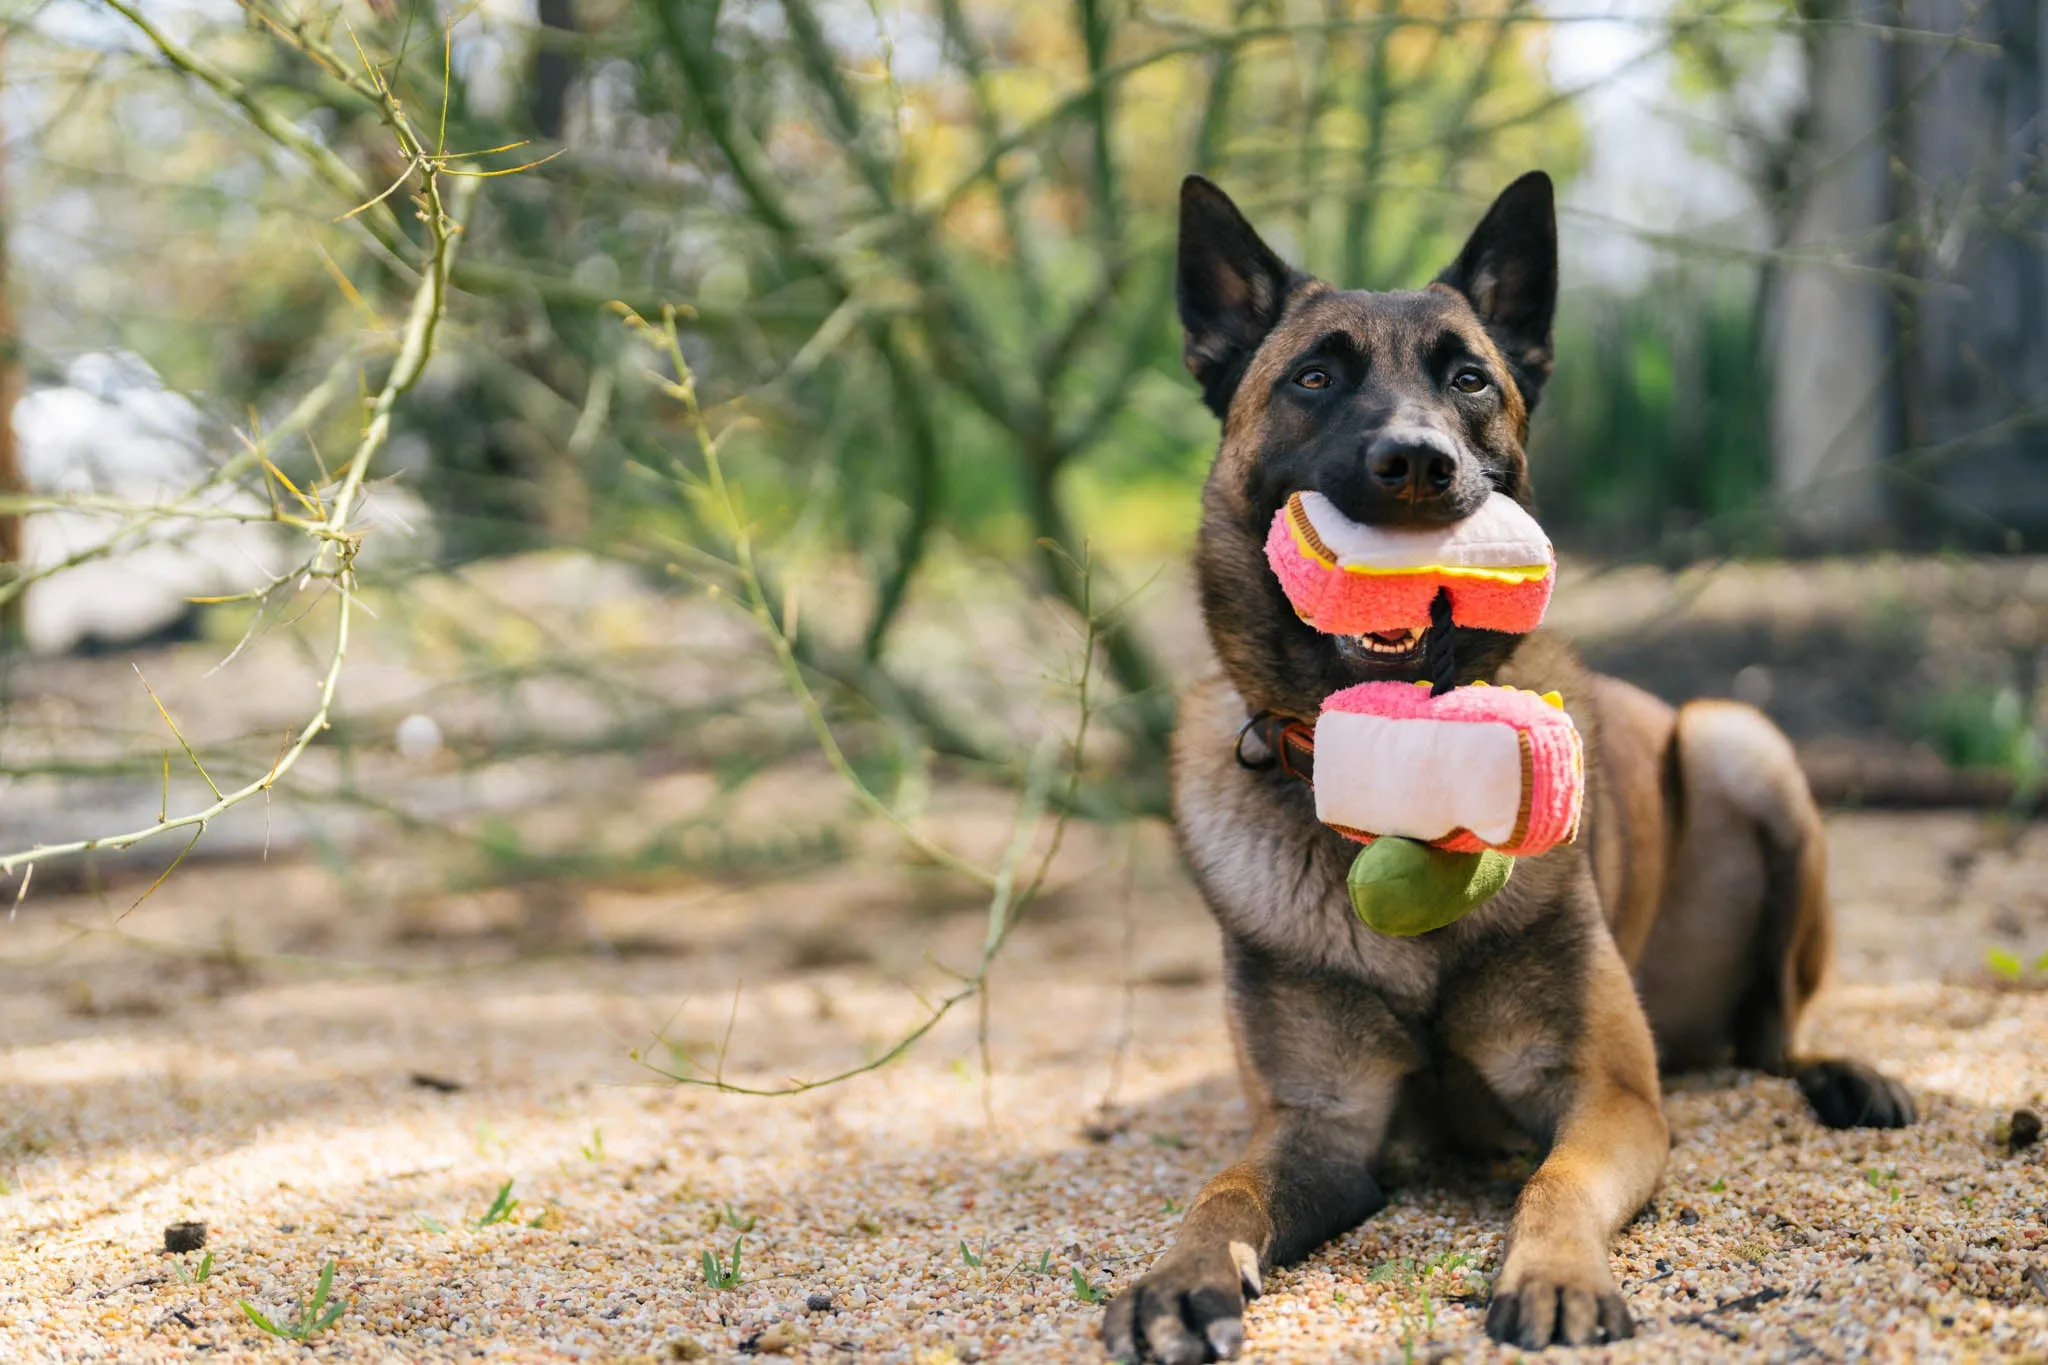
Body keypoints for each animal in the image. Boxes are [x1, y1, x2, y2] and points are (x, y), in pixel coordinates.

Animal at [1105, 175, 1916, 1358]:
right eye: (1313, 377)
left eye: (1467, 379)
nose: (1415, 462)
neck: (1400, 756)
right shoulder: (1319, 1128)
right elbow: (1222, 1192)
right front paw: (1176, 1277)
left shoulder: (1606, 1099)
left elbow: (1554, 1180)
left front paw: (1556, 1272)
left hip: (1741, 740)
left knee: (1773, 1035)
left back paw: (1843, 1076)